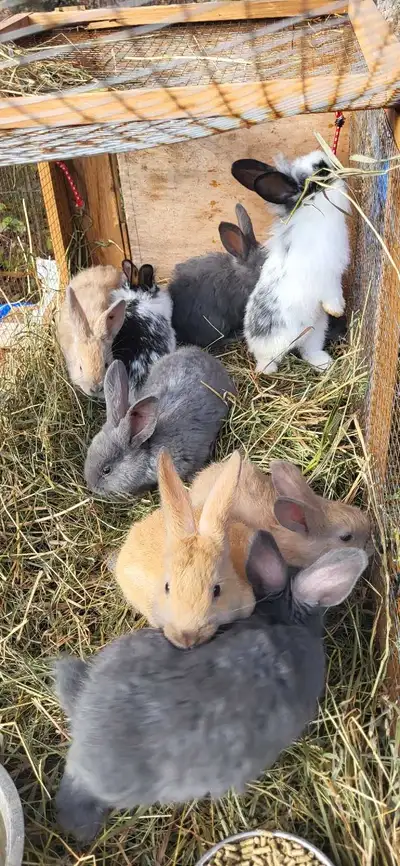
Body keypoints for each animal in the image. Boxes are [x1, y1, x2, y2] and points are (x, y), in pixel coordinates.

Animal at [231, 150, 350, 374]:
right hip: (275, 346)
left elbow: (337, 293)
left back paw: (324, 363)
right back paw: (267, 370)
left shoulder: (335, 273)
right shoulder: (326, 277)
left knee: (308, 351)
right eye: (321, 171)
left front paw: (340, 307)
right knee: (267, 360)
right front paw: (337, 310)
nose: (335, 167)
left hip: (315, 330)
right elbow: (331, 296)